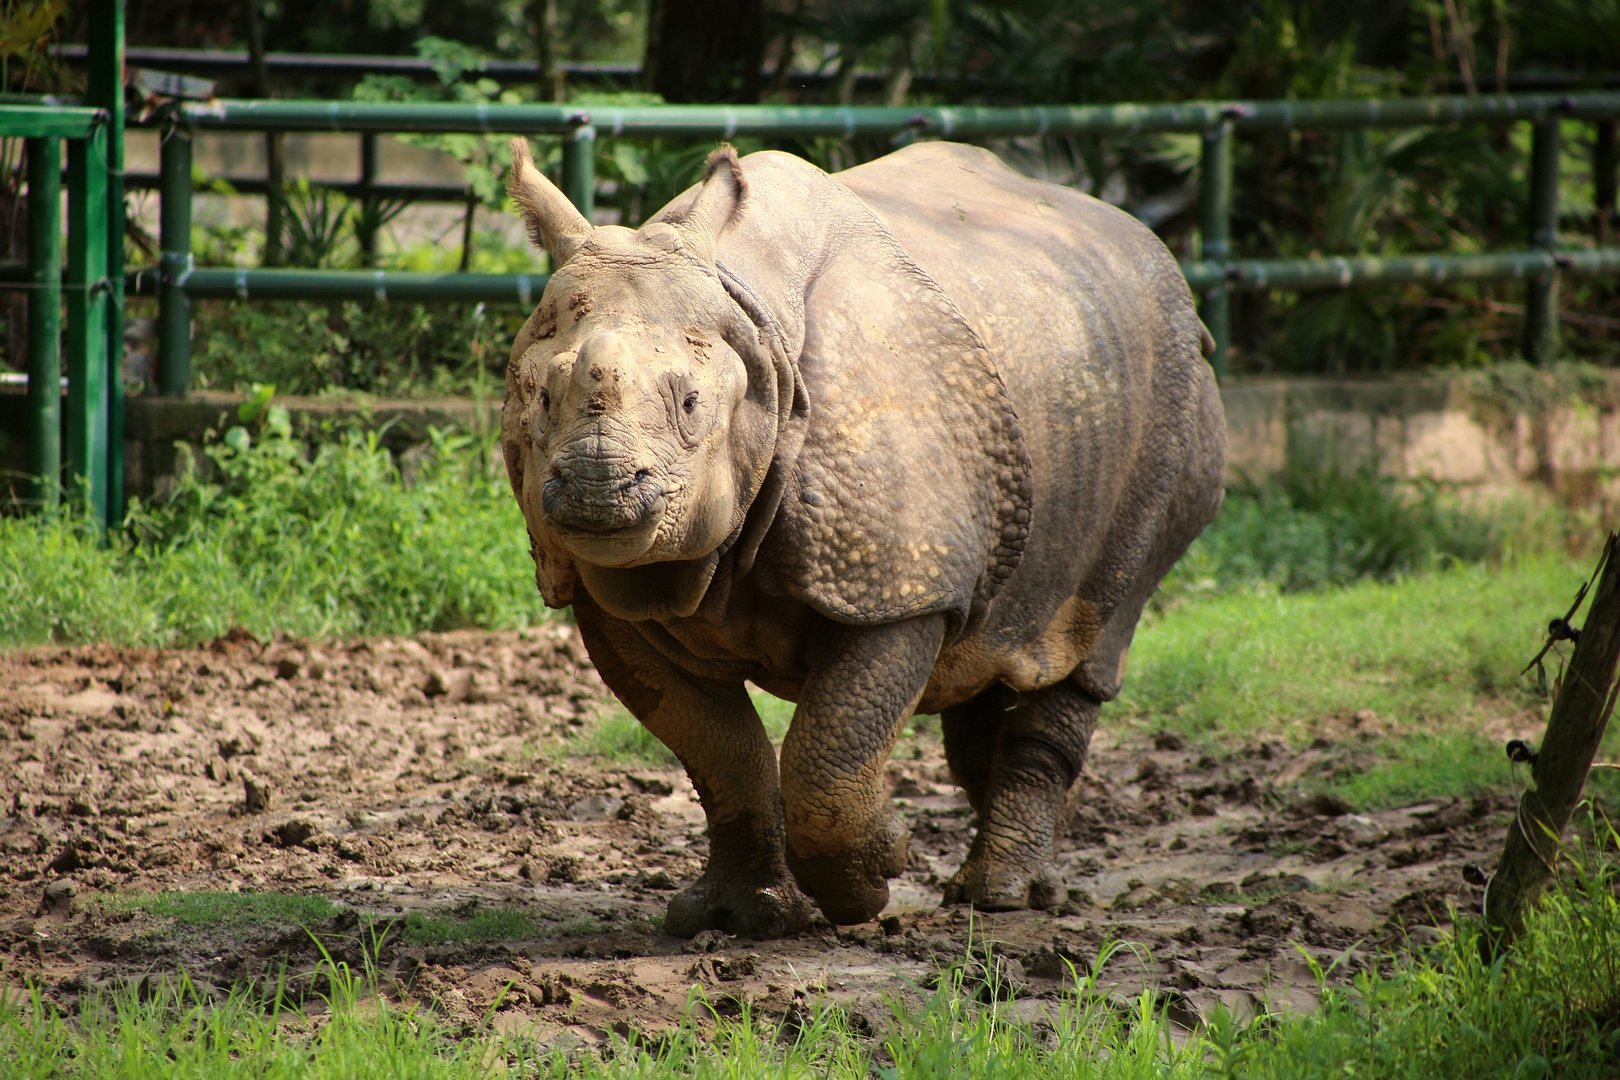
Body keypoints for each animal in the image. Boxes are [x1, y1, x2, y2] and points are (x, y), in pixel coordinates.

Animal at [501, 137, 1226, 938]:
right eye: (538, 397)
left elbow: (831, 753)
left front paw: (875, 872)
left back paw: (1003, 897)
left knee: (1091, 638)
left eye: (690, 403)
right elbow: (719, 753)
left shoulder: (903, 584)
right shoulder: (612, 599)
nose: (598, 489)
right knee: (992, 644)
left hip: (1178, 403)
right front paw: (738, 916)